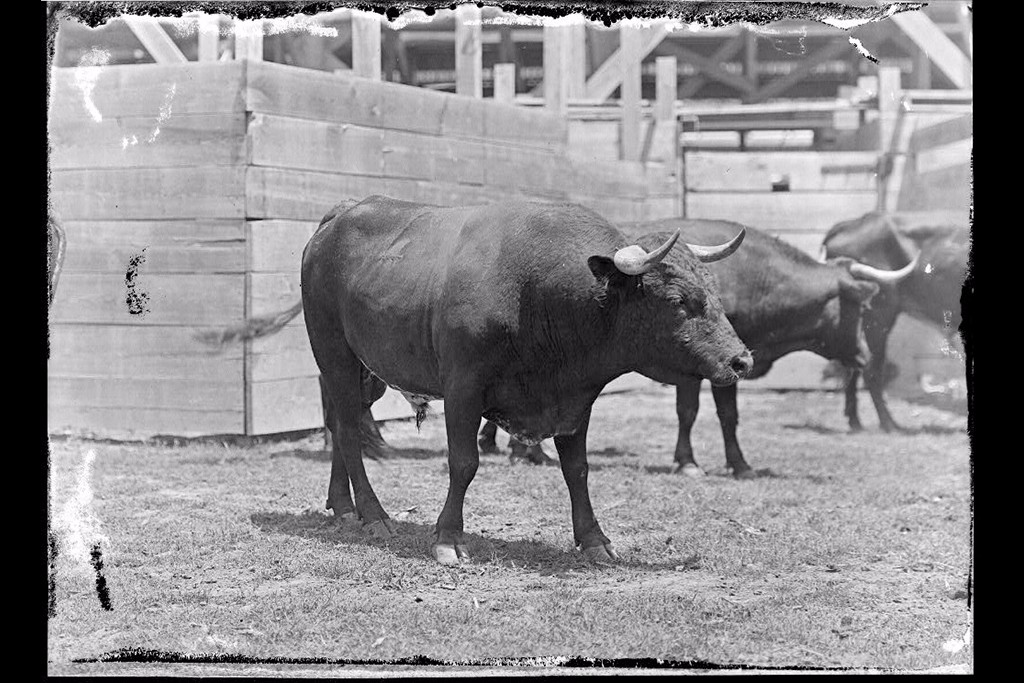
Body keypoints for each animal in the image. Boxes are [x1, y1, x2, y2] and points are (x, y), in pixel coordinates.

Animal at [299, 194, 749, 565]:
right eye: (677, 301)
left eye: (713, 291)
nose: (741, 359)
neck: (534, 291)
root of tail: (340, 214)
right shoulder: (463, 390)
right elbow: (464, 463)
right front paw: (448, 537)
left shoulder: (575, 400)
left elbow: (577, 469)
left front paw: (594, 539)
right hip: (335, 355)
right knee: (349, 430)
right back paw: (373, 514)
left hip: (367, 373)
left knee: (342, 424)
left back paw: (343, 506)